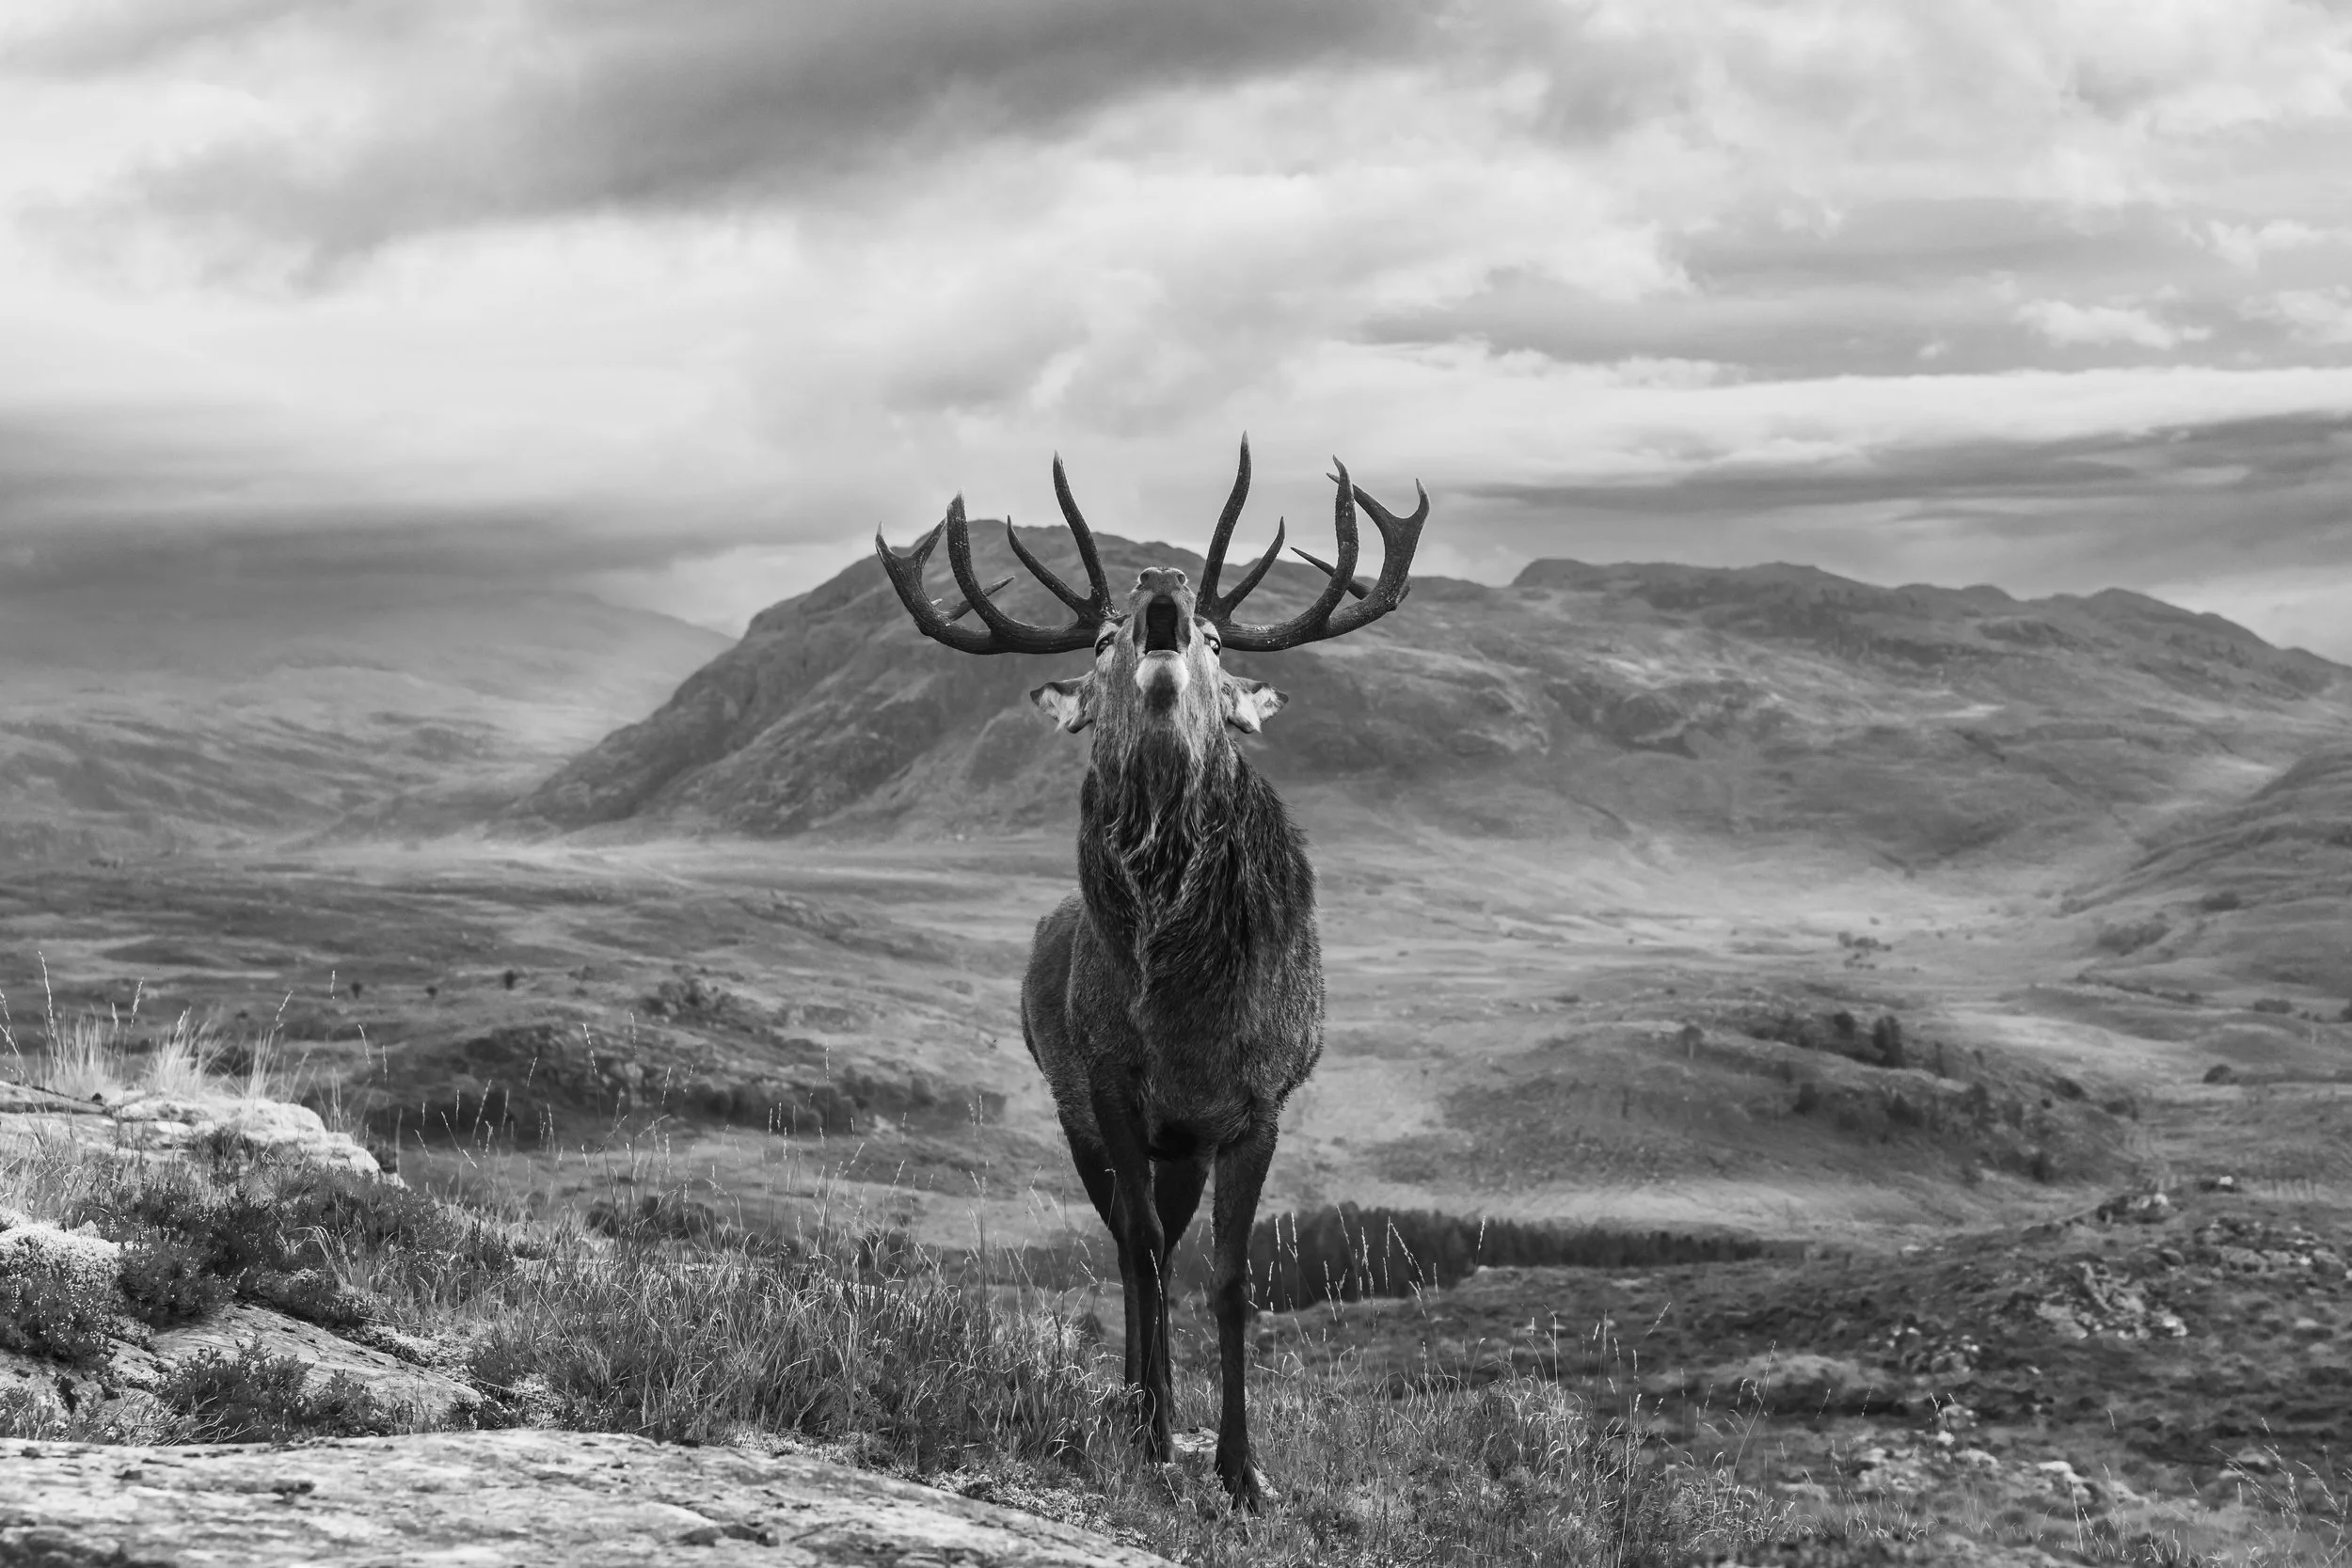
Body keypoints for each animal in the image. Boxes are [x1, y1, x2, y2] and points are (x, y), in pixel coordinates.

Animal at [874, 439, 1428, 1507]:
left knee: (1168, 1246)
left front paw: (1242, 1469)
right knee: (1138, 1248)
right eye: (1099, 640)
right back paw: (1134, 1405)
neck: (1182, 1008)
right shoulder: (1111, 1088)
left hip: (1186, 1149)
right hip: (1085, 1120)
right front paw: (1155, 1431)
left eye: (1213, 635)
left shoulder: (1254, 1107)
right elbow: (1137, 1254)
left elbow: (1229, 1278)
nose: (1161, 585)